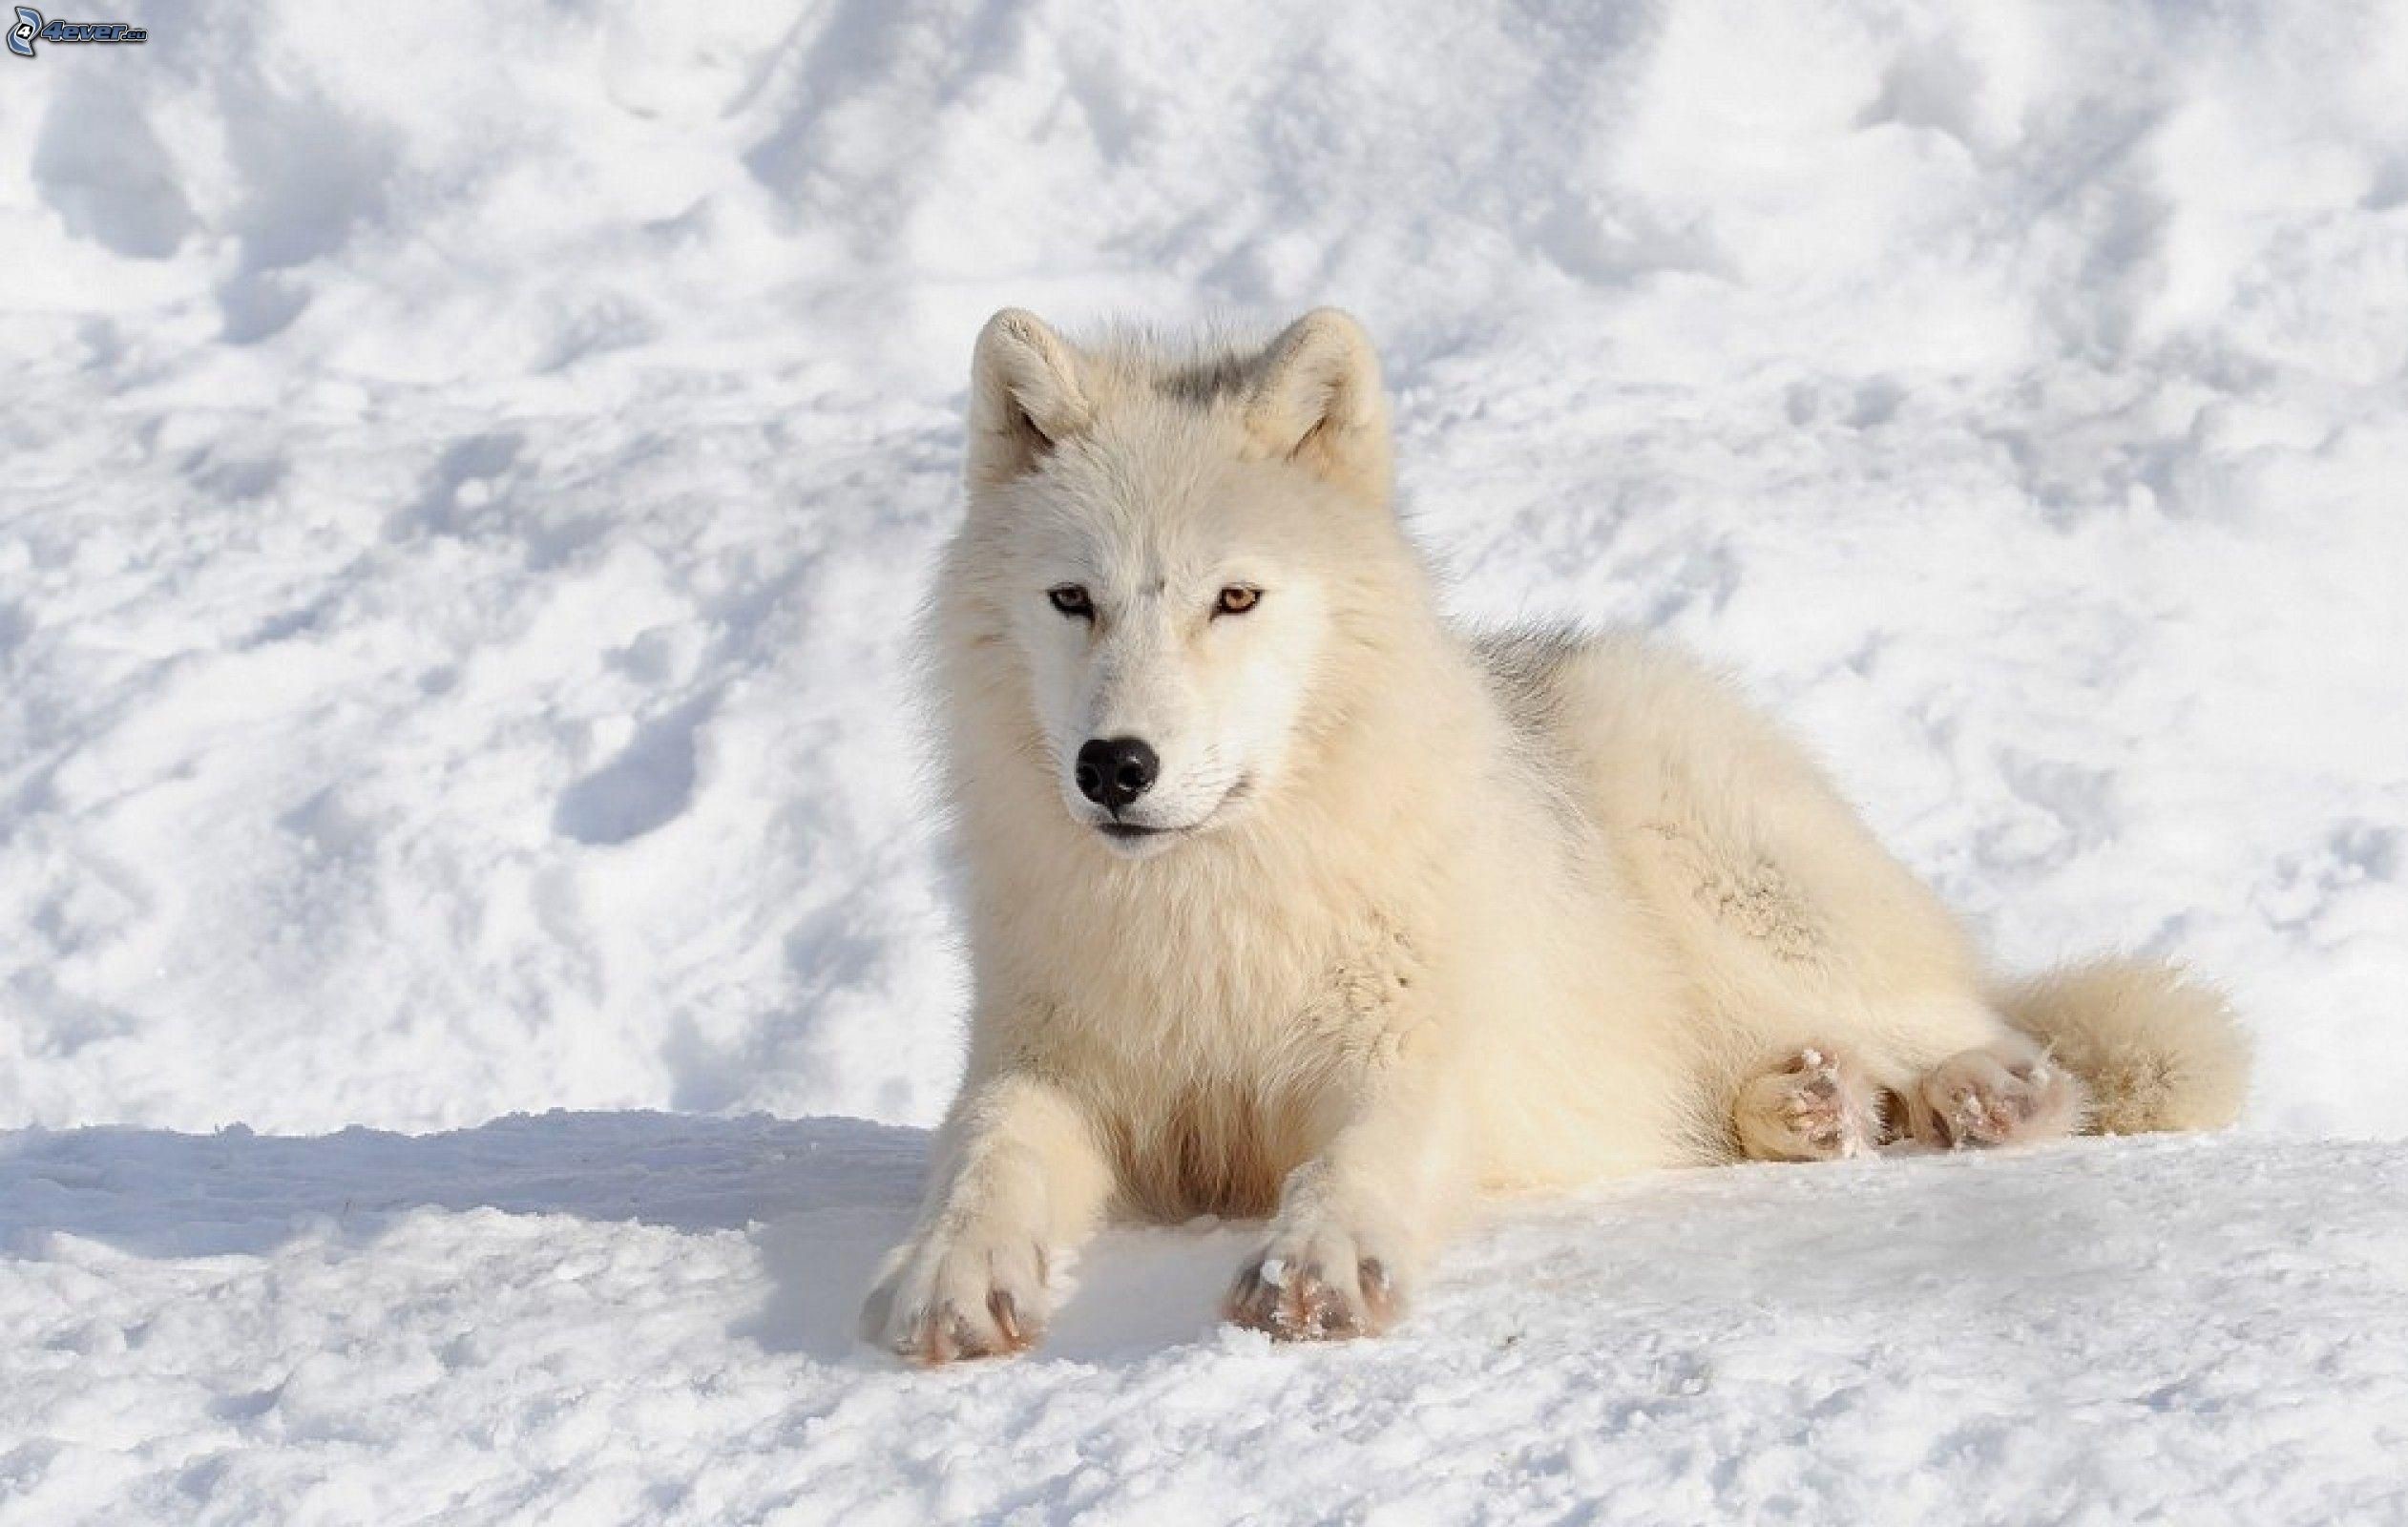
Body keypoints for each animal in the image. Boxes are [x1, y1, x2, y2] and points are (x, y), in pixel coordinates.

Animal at [863, 308, 2250, 1362]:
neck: (1209, 918)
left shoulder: (1411, 1052)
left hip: (1736, 897)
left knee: (1988, 1027)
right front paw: (947, 1275)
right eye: (1072, 600)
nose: (1115, 767)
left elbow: (1354, 1164)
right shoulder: (1040, 1065)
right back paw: (1811, 1109)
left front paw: (1318, 1265)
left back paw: (1980, 1096)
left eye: (1234, 598)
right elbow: (984, 1156)